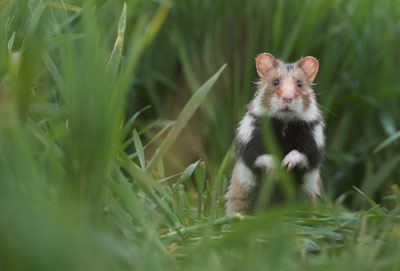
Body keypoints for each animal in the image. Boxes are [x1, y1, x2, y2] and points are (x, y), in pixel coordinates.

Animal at [225, 52, 324, 215]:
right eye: (275, 82)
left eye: (299, 84)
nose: (287, 98)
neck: (284, 122)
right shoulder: (249, 140)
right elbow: (260, 155)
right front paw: (276, 167)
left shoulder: (314, 143)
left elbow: (302, 153)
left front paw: (286, 164)